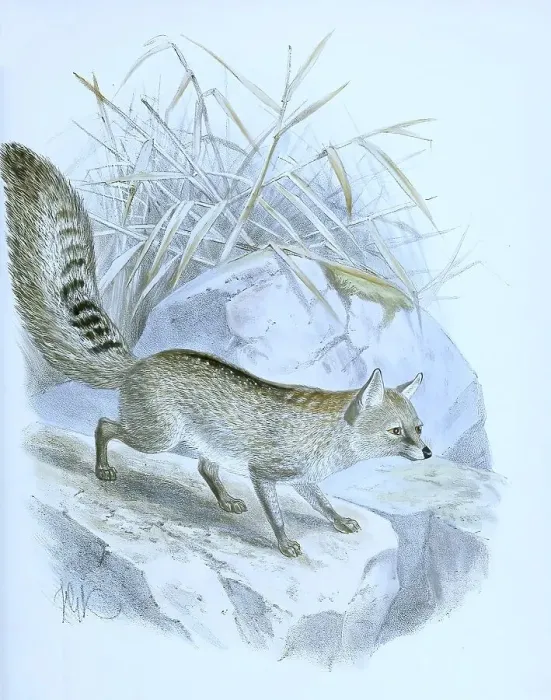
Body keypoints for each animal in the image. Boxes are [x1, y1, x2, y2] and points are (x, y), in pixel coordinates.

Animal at [1, 142, 432, 557]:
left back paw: (226, 500)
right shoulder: (265, 473)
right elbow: (277, 515)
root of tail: (143, 361)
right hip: (158, 438)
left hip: (198, 443)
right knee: (105, 426)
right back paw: (104, 469)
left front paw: (339, 521)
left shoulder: (304, 479)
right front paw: (284, 543)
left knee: (205, 469)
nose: (428, 452)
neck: (326, 433)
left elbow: (324, 504)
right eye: (396, 431)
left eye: (419, 427)